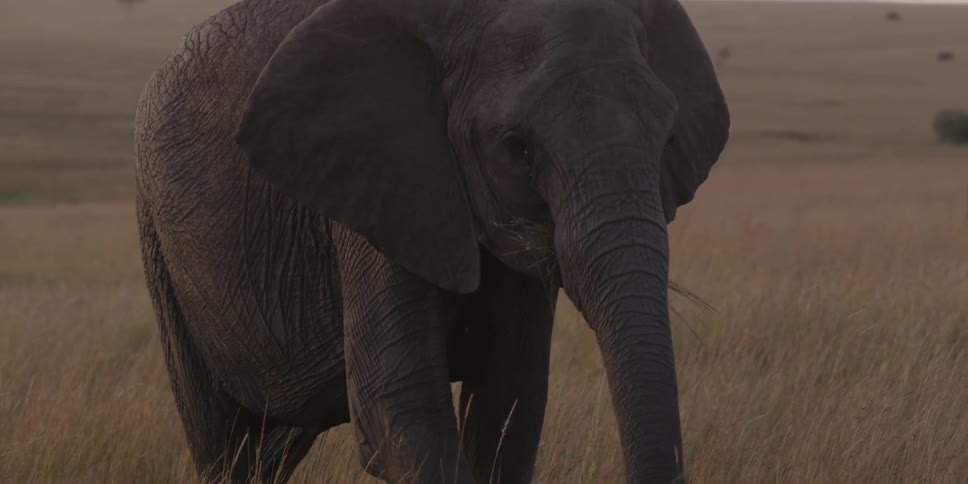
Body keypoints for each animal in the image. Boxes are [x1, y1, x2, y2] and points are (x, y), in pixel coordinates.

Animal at [133, 0, 729, 482]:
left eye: (668, 139)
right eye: (517, 147)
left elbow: (509, 404)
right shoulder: (377, 174)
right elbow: (400, 410)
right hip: (158, 240)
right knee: (222, 443)